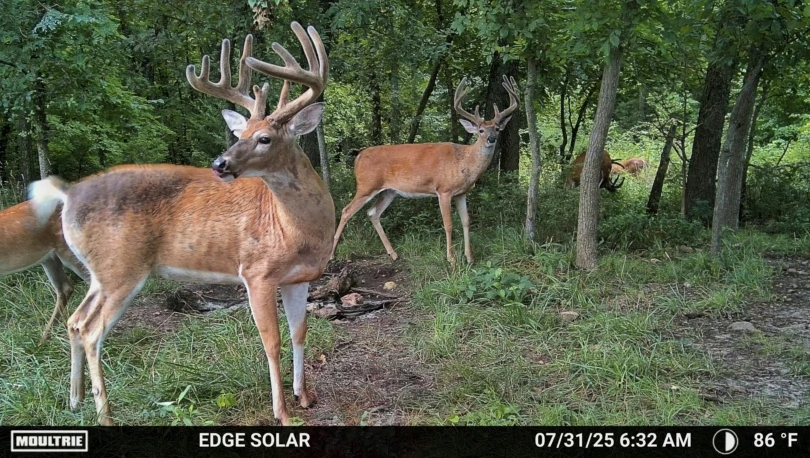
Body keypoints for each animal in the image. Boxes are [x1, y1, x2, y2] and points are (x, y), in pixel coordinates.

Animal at [28, 22, 333, 426]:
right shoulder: (257, 272)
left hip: (100, 272)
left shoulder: (298, 278)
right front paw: (282, 413)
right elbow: (272, 341)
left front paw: (305, 396)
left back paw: (76, 401)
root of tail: (68, 194)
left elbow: (300, 332)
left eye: (264, 138)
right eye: (239, 134)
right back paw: (105, 415)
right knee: (92, 332)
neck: (299, 230)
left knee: (76, 321)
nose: (220, 163)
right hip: (121, 267)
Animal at [330, 75, 520, 264]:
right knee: (346, 210)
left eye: (497, 128)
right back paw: (332, 254)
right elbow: (449, 224)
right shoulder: (444, 190)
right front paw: (451, 259)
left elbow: (466, 221)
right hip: (366, 185)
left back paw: (393, 254)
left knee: (372, 213)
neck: (463, 162)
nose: (492, 139)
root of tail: (358, 157)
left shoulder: (462, 193)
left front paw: (470, 257)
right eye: (480, 130)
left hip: (389, 191)